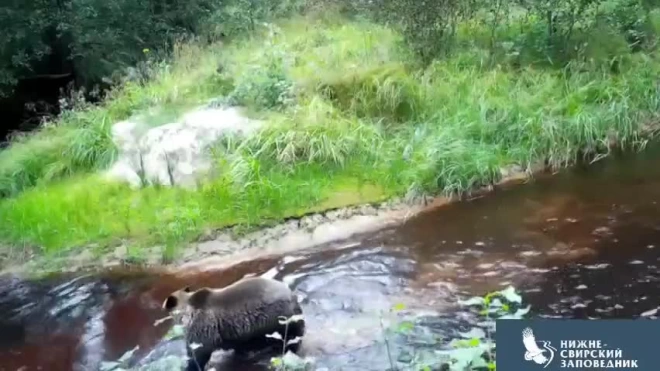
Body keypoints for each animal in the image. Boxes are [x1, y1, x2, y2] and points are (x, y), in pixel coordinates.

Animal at [161, 278, 306, 370]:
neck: (185, 312)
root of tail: (293, 296)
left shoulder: (201, 326)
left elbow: (198, 352)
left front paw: (191, 365)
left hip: (275, 318)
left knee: (289, 337)